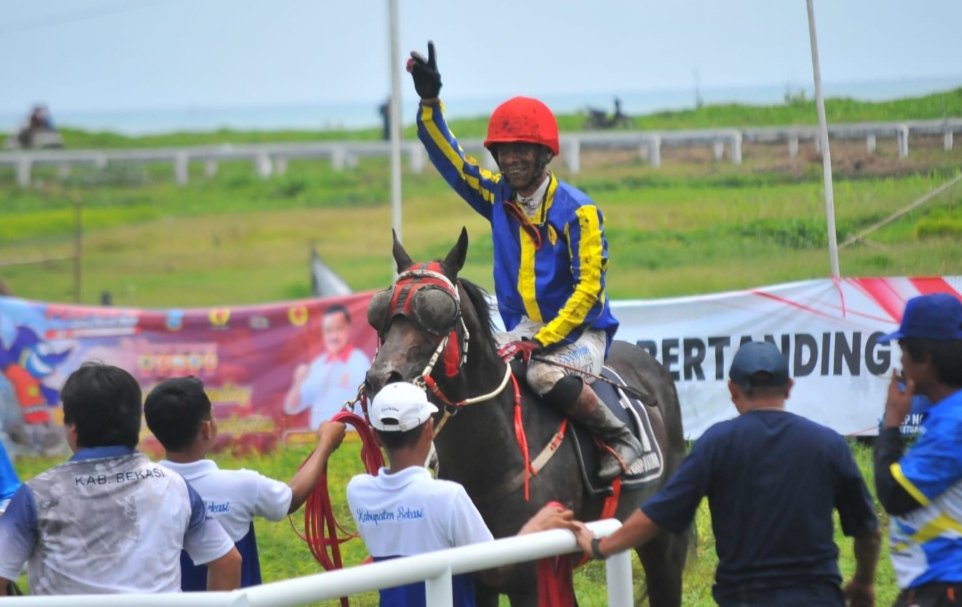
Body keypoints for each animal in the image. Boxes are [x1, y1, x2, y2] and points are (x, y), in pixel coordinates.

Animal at [362, 229, 688, 607]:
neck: (494, 457)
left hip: (662, 541)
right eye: (381, 312)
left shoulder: (531, 583)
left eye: (436, 311)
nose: (382, 378)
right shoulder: (478, 582)